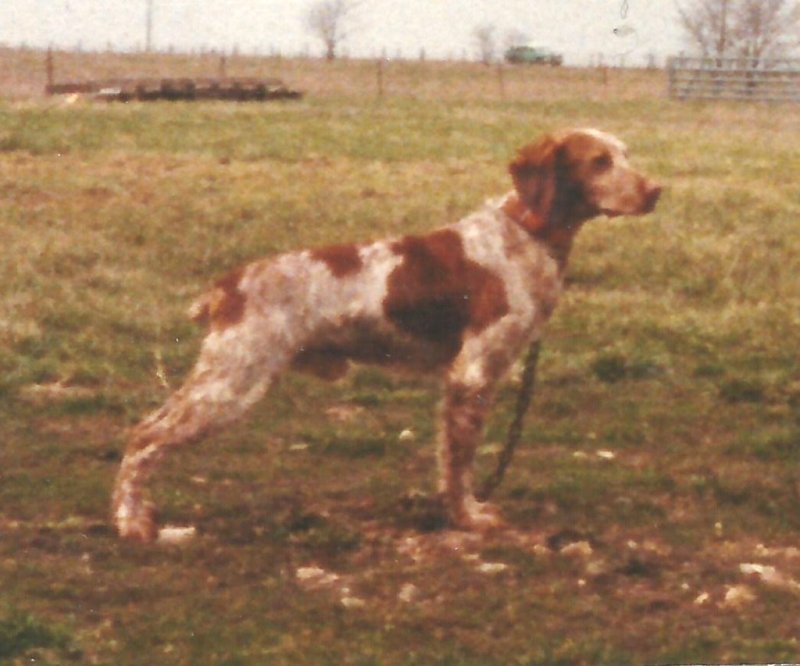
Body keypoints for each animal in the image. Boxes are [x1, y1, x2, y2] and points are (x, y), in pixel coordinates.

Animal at [112, 126, 664, 540]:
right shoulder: (471, 374)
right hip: (231, 383)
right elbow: (459, 463)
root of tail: (228, 285)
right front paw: (468, 518)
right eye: (599, 162)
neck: (526, 232)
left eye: (626, 155)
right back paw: (131, 521)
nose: (655, 190)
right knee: (143, 436)